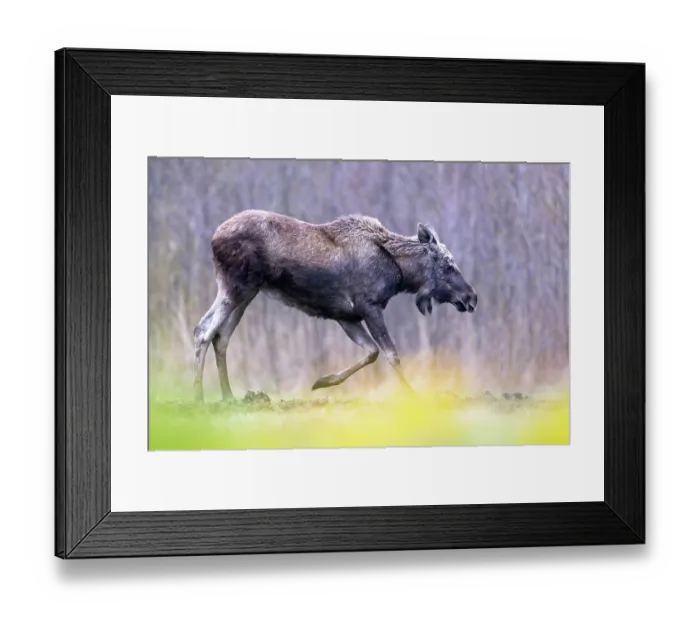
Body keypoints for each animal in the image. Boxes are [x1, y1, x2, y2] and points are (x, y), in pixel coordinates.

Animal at [193, 210, 478, 402]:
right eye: (448, 265)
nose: (472, 297)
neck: (399, 274)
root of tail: (213, 238)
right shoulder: (369, 306)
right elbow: (390, 354)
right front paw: (413, 396)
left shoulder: (346, 316)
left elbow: (371, 352)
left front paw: (322, 382)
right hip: (235, 286)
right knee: (203, 331)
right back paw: (199, 397)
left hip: (248, 293)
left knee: (221, 337)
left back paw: (228, 396)